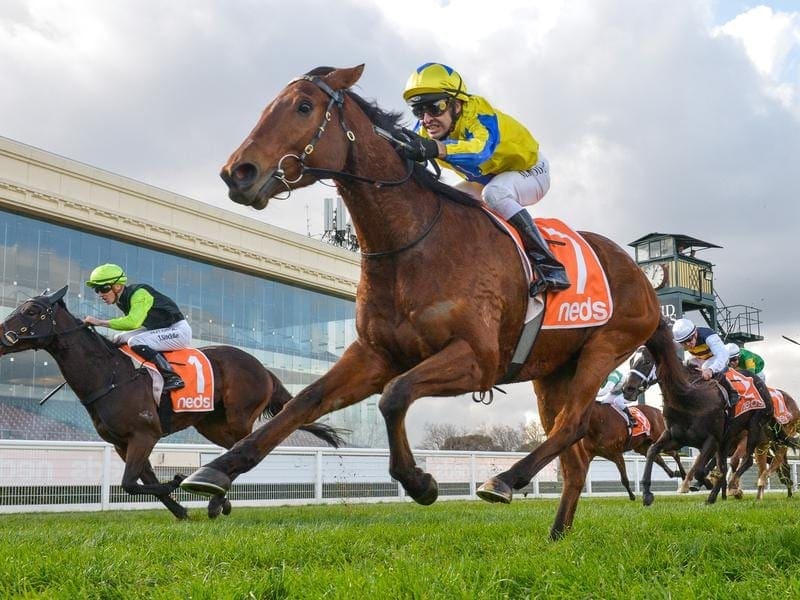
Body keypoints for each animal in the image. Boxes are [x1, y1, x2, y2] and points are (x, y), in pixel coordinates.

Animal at [0, 284, 340, 516]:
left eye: (32, 311)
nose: (2, 336)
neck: (109, 375)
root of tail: (264, 368)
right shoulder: (121, 442)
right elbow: (140, 480)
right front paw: (181, 510)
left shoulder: (144, 434)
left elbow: (130, 483)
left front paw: (177, 480)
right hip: (210, 424)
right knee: (234, 449)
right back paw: (218, 498)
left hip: (238, 417)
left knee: (251, 444)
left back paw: (216, 498)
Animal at [183, 65, 664, 540]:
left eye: (303, 107)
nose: (237, 173)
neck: (413, 243)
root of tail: (642, 277)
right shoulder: (375, 354)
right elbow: (305, 401)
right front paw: (218, 469)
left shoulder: (478, 359)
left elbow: (394, 397)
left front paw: (419, 482)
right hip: (552, 372)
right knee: (575, 456)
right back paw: (556, 534)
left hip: (604, 348)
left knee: (573, 424)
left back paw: (504, 480)